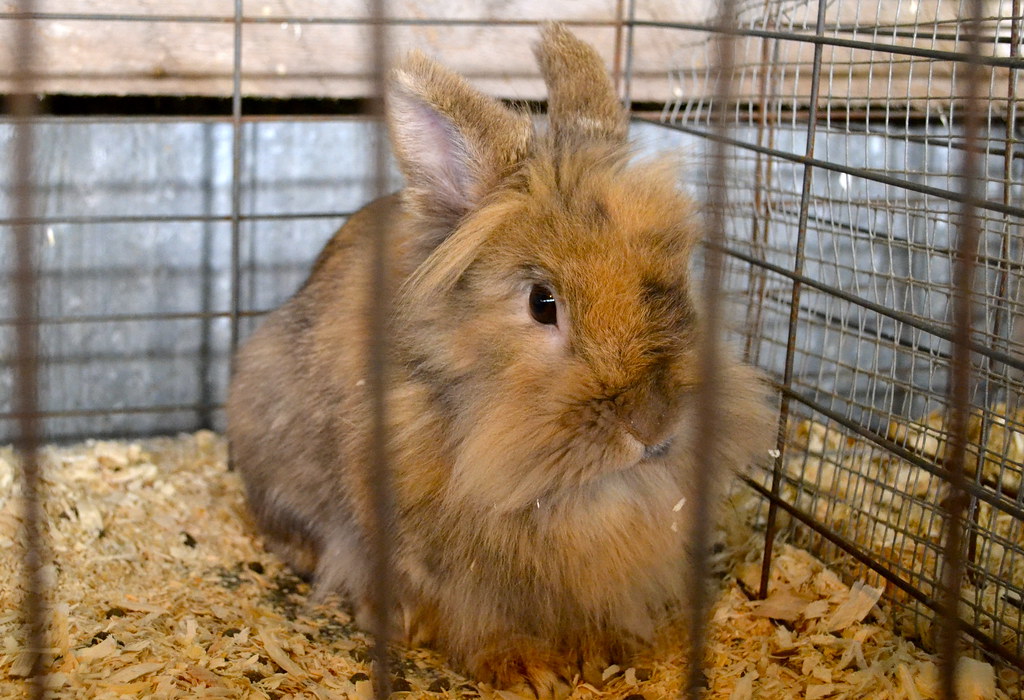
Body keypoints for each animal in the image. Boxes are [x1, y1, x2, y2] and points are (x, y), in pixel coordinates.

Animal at [227, 22, 776, 696]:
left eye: (679, 283)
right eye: (543, 303)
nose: (654, 427)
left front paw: (604, 653)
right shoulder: (431, 559)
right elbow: (473, 615)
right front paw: (523, 667)